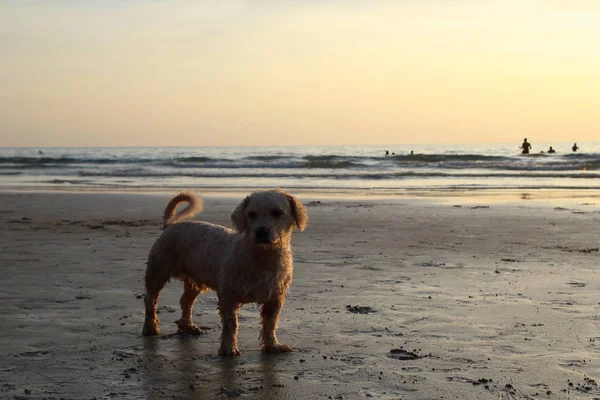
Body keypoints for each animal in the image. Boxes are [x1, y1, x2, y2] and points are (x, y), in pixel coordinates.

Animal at [143, 190, 308, 356]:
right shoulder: (228, 297)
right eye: (251, 214)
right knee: (150, 300)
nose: (261, 231)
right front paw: (229, 348)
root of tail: (170, 225)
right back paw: (150, 327)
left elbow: (270, 323)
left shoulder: (275, 298)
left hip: (195, 282)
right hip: (157, 272)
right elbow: (231, 324)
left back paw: (188, 326)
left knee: (186, 301)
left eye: (277, 212)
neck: (262, 257)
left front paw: (273, 345)